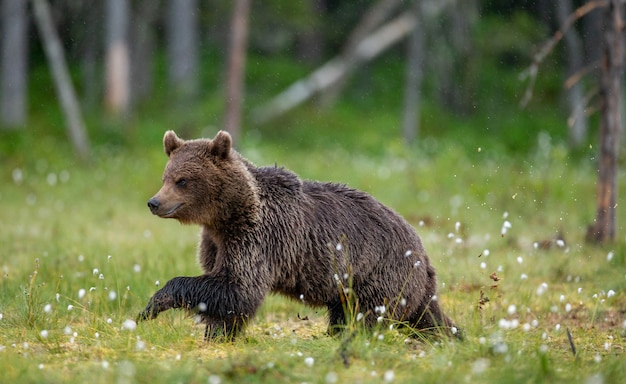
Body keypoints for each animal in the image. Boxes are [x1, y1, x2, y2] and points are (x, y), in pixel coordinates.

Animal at [139, 130, 456, 340]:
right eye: (165, 177)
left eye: (182, 180)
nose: (154, 202)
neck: (226, 216)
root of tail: (422, 251)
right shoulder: (217, 241)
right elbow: (224, 293)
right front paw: (217, 333)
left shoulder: (256, 237)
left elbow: (238, 287)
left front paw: (152, 306)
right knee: (421, 316)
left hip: (378, 273)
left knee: (367, 315)